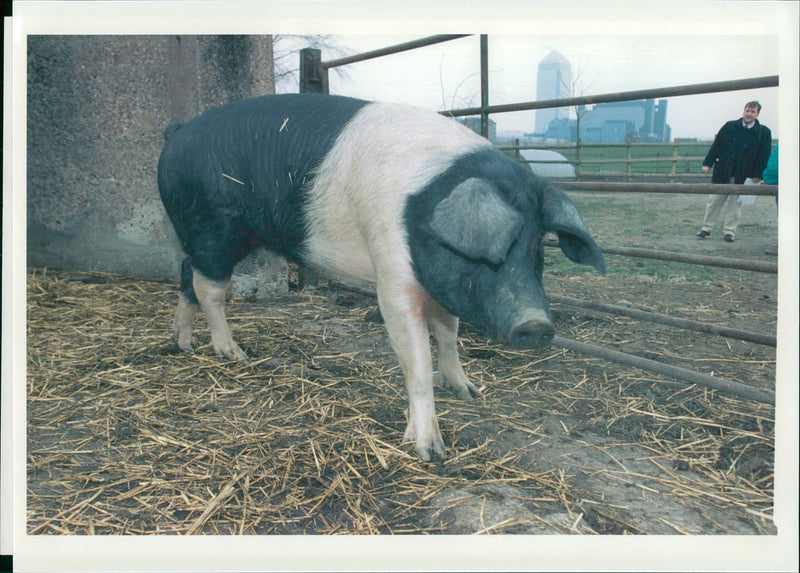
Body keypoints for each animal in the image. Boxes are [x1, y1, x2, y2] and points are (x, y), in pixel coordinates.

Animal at [158, 94, 608, 460]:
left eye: (537, 248)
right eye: (493, 252)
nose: (537, 324)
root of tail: (177, 131)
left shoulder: (439, 283)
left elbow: (448, 335)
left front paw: (470, 391)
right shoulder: (392, 278)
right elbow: (418, 361)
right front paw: (431, 452)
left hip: (203, 236)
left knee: (185, 275)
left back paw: (183, 343)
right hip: (213, 228)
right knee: (208, 289)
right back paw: (232, 353)